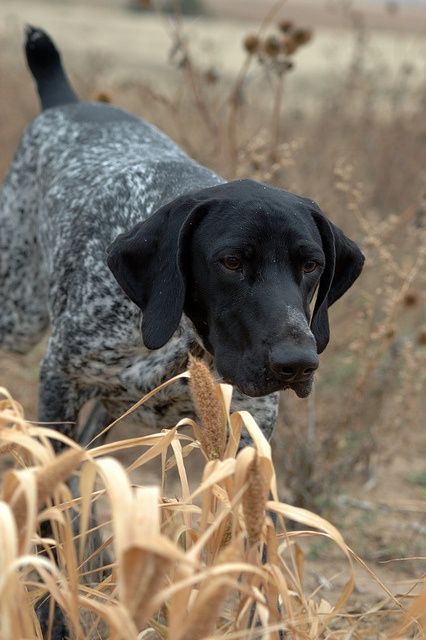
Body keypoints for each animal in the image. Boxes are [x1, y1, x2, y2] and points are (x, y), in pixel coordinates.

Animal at [0, 27, 366, 450]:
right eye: (231, 262)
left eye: (311, 265)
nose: (298, 363)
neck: (184, 338)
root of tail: (66, 104)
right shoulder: (62, 382)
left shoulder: (247, 424)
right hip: (18, 317)